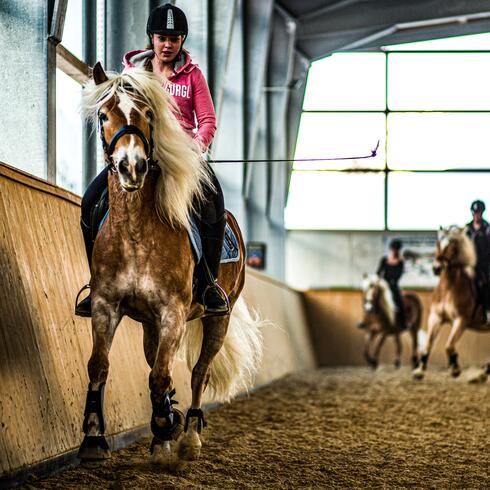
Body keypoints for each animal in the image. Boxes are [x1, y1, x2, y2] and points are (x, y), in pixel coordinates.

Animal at [77, 63, 264, 468]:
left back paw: (188, 436)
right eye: (103, 115)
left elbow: (162, 376)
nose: (132, 167)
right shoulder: (105, 306)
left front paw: (167, 424)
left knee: (198, 373)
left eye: (148, 114)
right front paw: (94, 439)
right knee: (155, 364)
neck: (135, 232)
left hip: (218, 317)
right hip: (149, 322)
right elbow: (100, 364)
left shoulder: (172, 313)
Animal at [414, 228, 490, 380]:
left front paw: (455, 368)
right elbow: (428, 344)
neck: (449, 288)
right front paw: (419, 370)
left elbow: (449, 346)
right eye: (438, 242)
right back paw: (482, 376)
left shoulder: (461, 320)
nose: (436, 268)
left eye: (453, 244)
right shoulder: (435, 317)